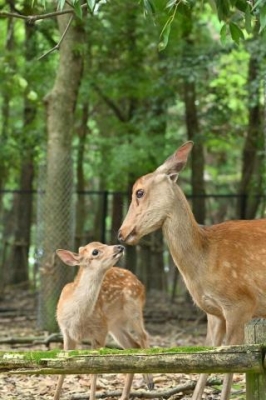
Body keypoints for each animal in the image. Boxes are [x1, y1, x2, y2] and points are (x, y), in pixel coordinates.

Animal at [53, 241, 153, 400]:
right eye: (95, 251)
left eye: (104, 243)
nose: (120, 247)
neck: (78, 317)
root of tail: (140, 283)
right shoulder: (66, 332)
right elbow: (63, 367)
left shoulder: (99, 331)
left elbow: (94, 371)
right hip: (114, 325)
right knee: (133, 346)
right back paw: (124, 395)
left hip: (133, 307)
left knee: (143, 335)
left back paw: (149, 381)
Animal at [118, 141, 266, 400]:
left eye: (139, 192)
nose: (121, 232)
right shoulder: (214, 313)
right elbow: (208, 358)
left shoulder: (240, 303)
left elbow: (233, 362)